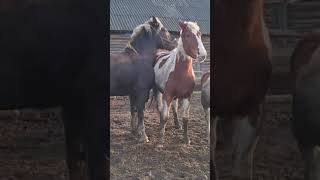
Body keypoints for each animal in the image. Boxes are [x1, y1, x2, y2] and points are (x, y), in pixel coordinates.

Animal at [153, 20, 208, 148]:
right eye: (187, 35)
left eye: (199, 34)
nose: (203, 55)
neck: (181, 72)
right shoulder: (167, 95)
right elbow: (165, 116)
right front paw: (160, 140)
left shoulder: (187, 96)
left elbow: (185, 118)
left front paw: (186, 139)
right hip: (157, 91)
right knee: (160, 108)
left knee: (174, 107)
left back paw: (177, 125)